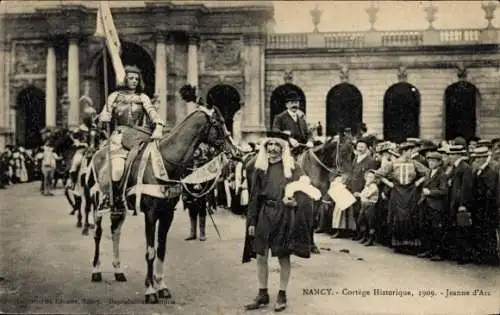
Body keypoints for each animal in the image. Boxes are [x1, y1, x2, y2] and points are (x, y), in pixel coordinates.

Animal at [84, 105, 240, 304]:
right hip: (97, 203)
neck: (165, 163)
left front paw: (162, 287)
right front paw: (150, 290)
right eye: (218, 124)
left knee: (115, 232)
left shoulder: (167, 214)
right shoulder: (151, 214)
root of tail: (98, 152)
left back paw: (118, 271)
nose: (236, 151)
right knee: (98, 234)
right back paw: (96, 270)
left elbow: (161, 250)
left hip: (119, 207)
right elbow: (150, 251)